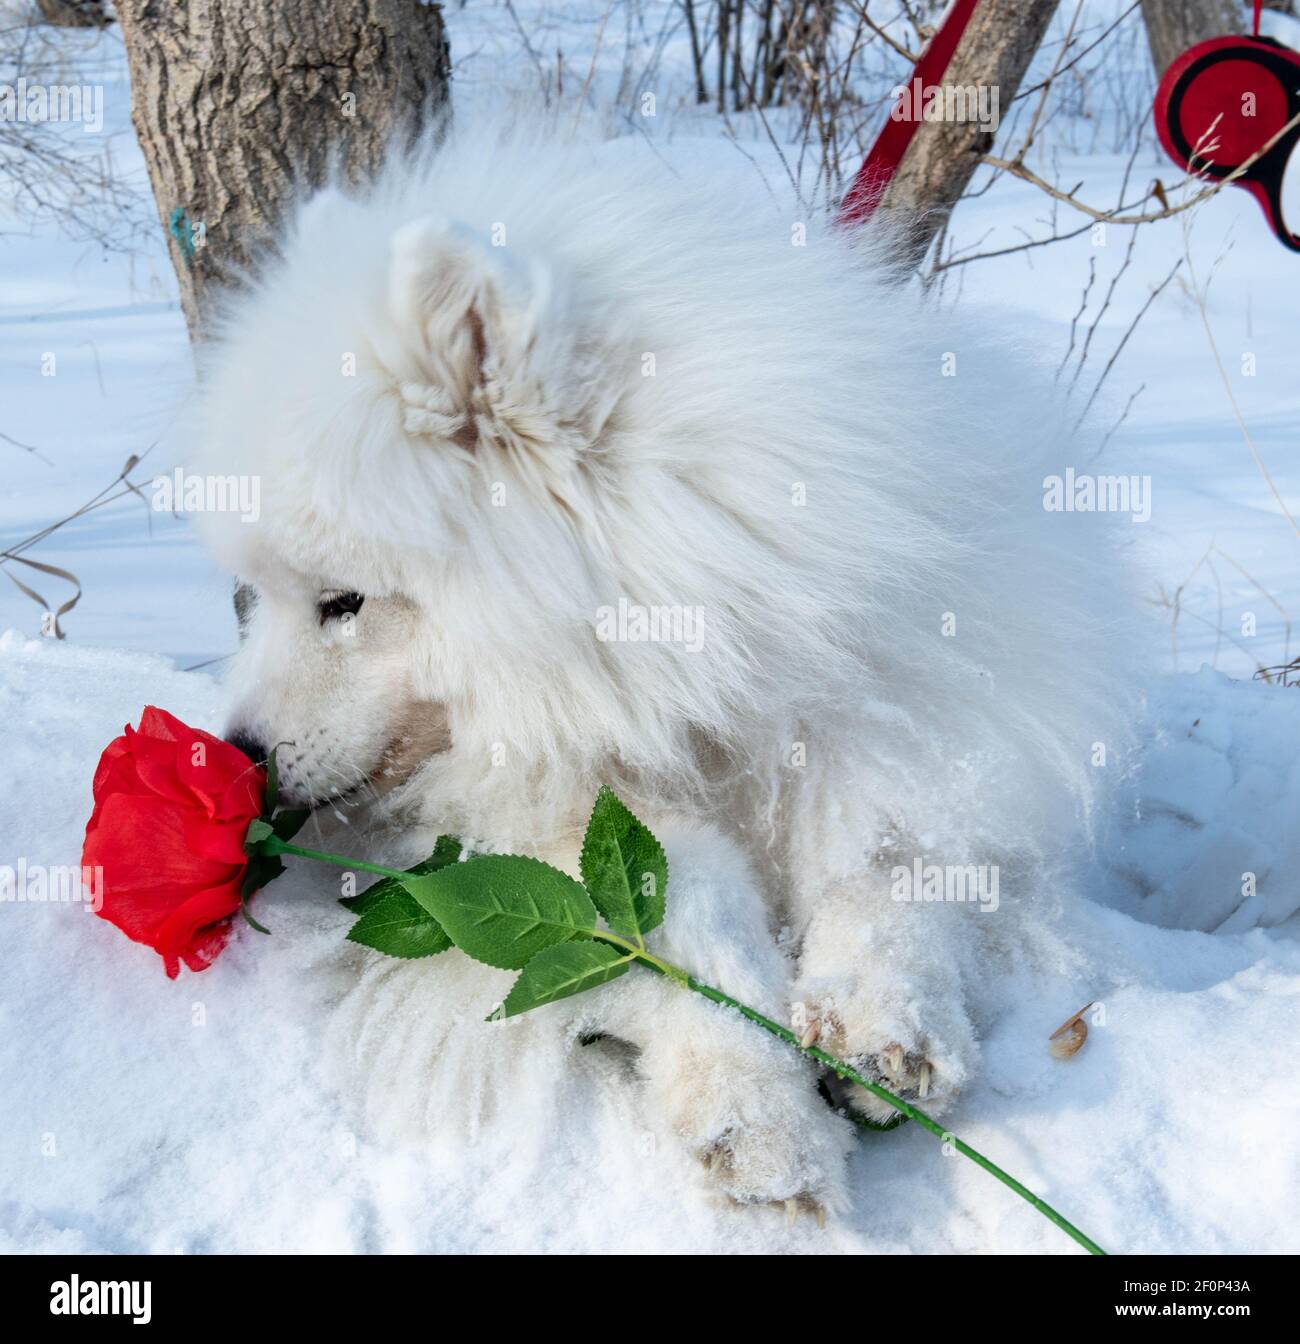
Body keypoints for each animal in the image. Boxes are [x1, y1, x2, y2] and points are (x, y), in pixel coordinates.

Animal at [188, 128, 1134, 1220]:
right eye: (254, 596)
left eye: (343, 601)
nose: (236, 755)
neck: (689, 683)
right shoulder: (548, 831)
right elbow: (690, 926)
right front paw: (760, 1121)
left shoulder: (898, 731)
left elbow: (889, 874)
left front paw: (882, 1027)